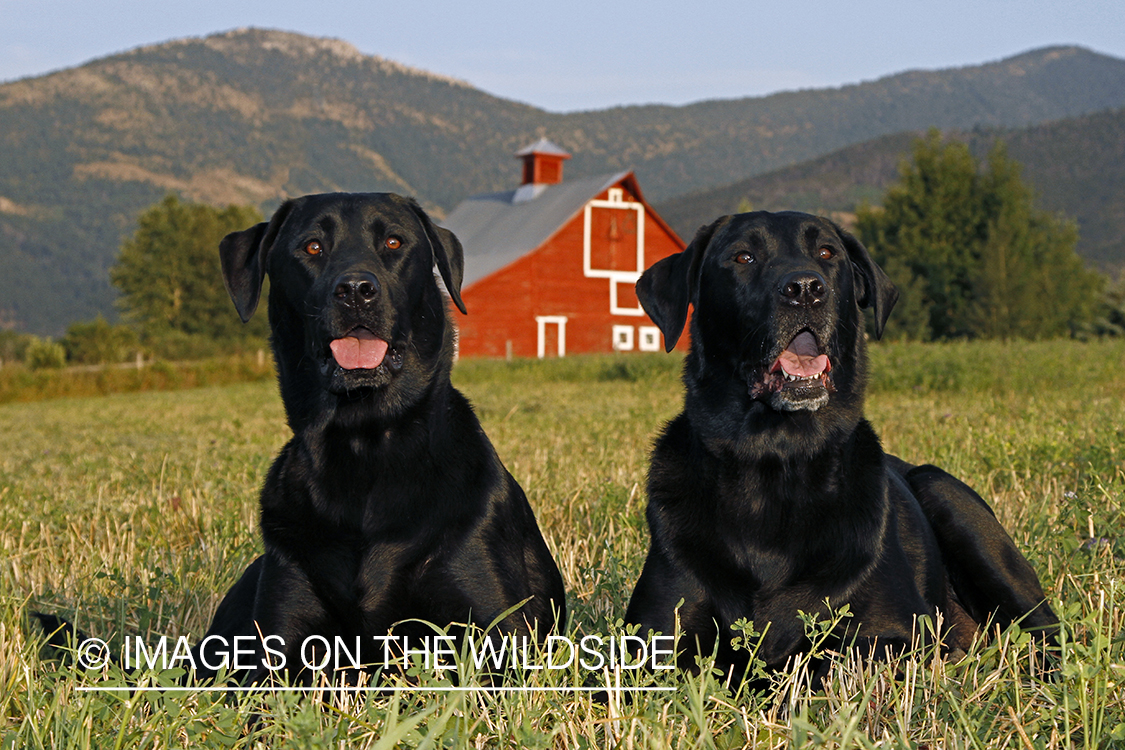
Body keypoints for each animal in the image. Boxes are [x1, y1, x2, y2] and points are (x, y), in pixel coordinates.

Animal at [189, 193, 567, 688]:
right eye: (312, 246)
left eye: (393, 242)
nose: (355, 290)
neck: (364, 444)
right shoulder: (275, 650)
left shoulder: (498, 634)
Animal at [630, 210, 1057, 674]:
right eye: (743, 257)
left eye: (826, 253)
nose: (805, 288)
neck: (775, 460)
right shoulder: (649, 641)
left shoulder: (894, 636)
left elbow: (826, 665)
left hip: (949, 500)